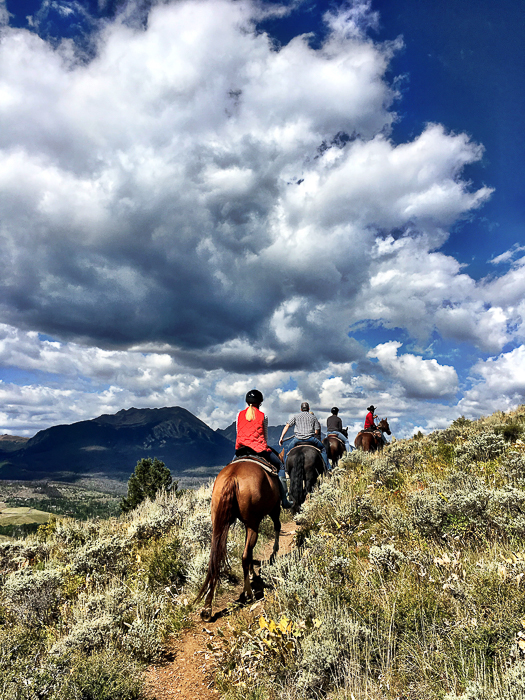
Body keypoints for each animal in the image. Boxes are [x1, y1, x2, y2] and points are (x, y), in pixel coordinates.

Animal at [194, 462, 280, 620]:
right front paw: (273, 554)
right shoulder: (274, 508)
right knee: (245, 556)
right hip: (253, 523)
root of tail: (232, 477)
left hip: (219, 522)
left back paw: (207, 607)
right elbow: (277, 526)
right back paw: (249, 593)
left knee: (215, 560)